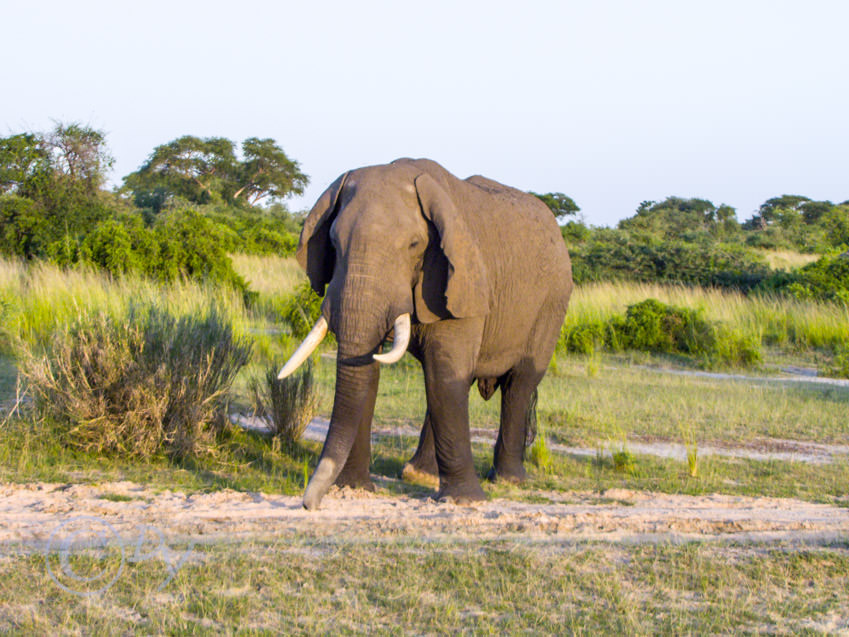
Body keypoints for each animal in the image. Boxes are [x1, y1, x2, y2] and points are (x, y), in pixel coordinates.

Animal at [278, 157, 568, 510]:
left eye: (414, 245)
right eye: (333, 242)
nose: (309, 504)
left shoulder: (462, 280)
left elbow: (443, 375)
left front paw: (463, 500)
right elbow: (372, 370)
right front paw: (353, 488)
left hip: (552, 305)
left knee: (519, 383)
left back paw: (507, 480)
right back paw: (419, 475)